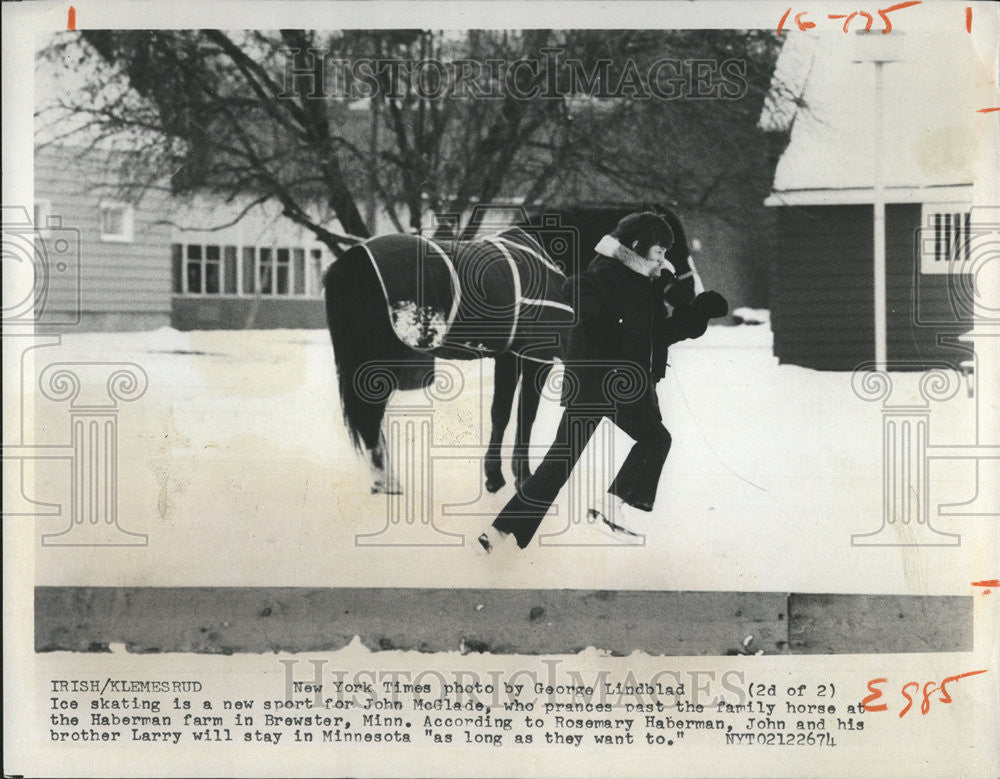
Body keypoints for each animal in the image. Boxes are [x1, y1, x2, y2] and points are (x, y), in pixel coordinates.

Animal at [322, 209, 696, 494]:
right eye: (671, 248)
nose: (689, 296)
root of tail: (351, 260)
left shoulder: (509, 356)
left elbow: (501, 413)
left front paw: (495, 477)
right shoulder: (537, 358)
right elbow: (524, 416)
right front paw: (520, 478)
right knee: (370, 417)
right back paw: (388, 484)